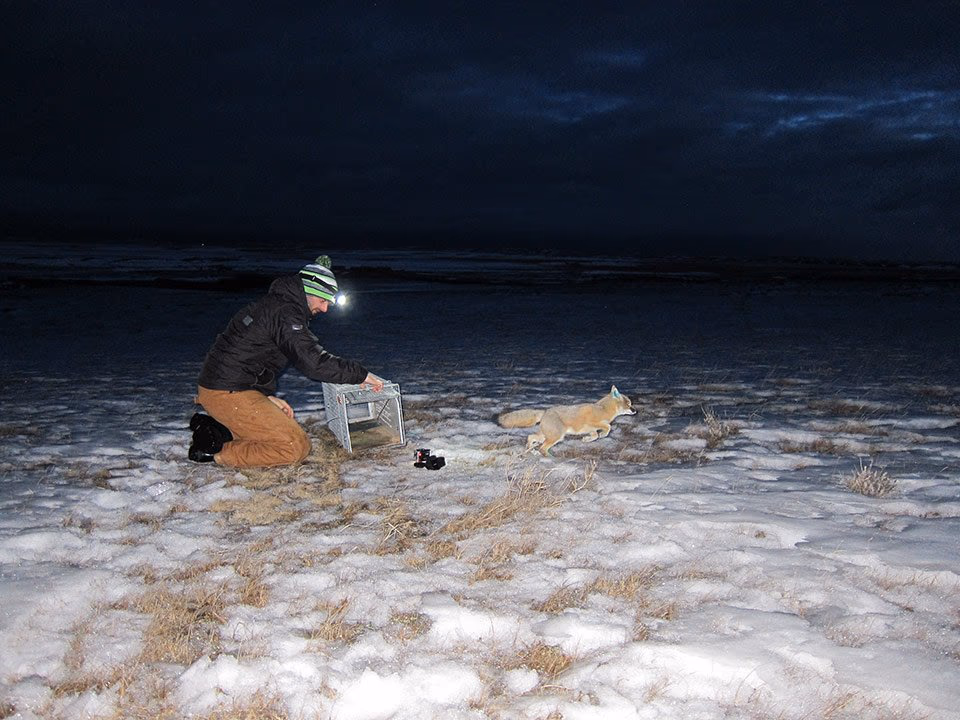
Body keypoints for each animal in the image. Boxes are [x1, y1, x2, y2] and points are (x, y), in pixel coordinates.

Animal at [497, 385, 636, 456]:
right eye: (629, 404)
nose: (635, 411)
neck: (603, 409)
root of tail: (545, 411)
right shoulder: (594, 423)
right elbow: (607, 427)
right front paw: (603, 434)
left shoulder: (591, 429)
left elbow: (595, 436)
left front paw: (586, 440)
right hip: (556, 437)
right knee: (543, 448)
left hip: (546, 436)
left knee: (531, 437)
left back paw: (529, 450)